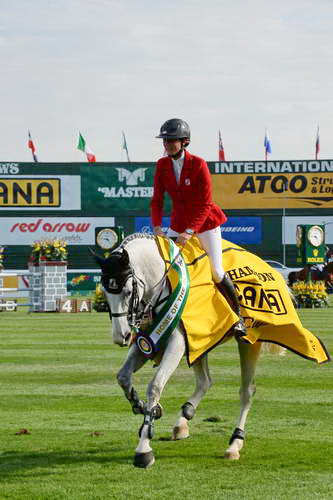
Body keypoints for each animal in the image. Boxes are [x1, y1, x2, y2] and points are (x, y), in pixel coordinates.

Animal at [93, 234, 264, 468]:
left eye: (128, 292)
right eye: (104, 292)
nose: (122, 337)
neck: (159, 288)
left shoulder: (177, 343)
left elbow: (155, 386)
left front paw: (144, 448)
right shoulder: (147, 341)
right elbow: (123, 377)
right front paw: (145, 407)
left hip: (248, 343)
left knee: (246, 392)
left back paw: (234, 445)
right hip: (199, 344)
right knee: (205, 381)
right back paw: (184, 420)